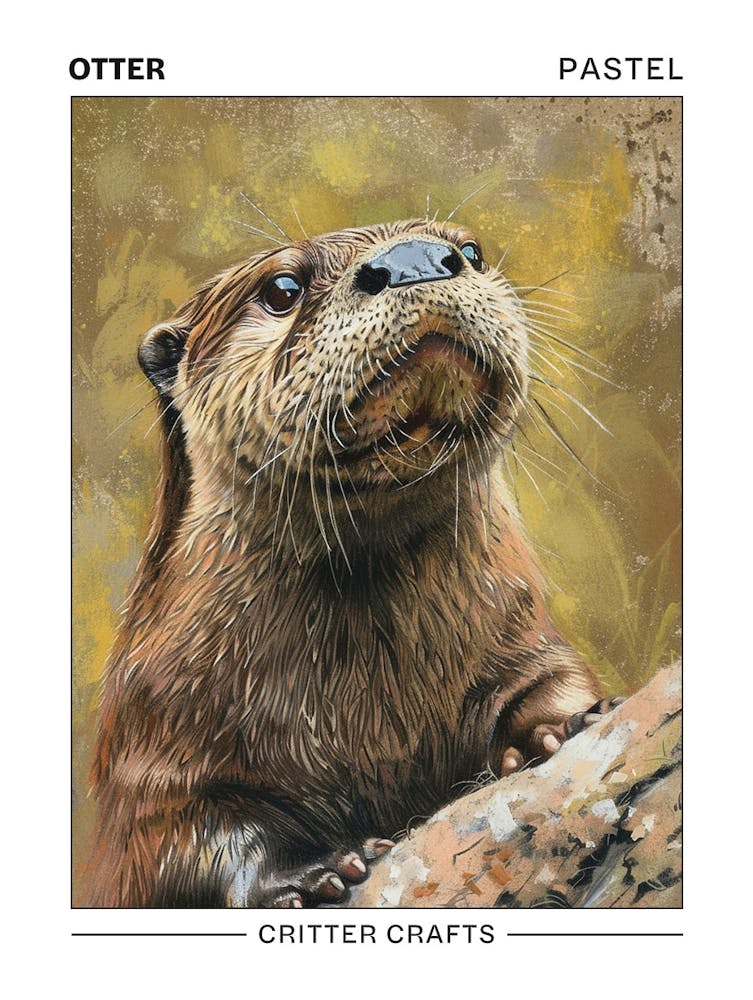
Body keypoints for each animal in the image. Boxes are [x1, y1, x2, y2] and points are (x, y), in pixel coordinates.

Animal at [88, 218, 612, 908]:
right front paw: (310, 871)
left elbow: (554, 681)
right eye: (282, 288)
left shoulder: (522, 633)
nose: (416, 260)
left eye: (471, 250)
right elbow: (182, 838)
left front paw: (556, 727)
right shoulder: (151, 745)